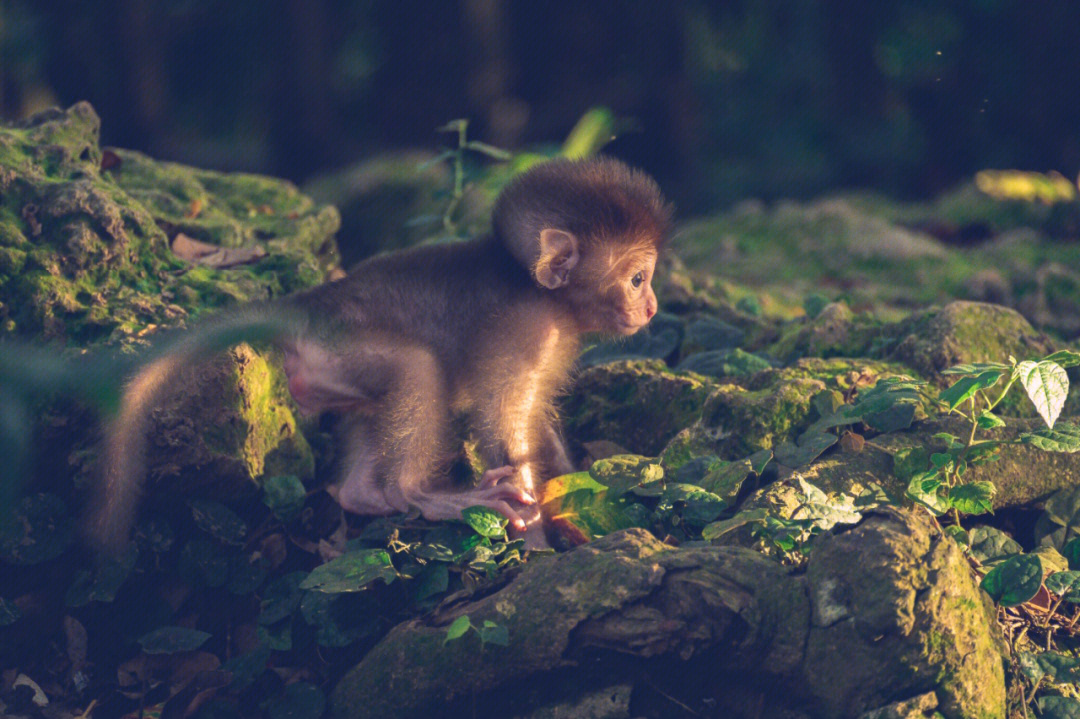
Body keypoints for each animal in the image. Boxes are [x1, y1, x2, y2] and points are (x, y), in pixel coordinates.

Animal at [92, 158, 669, 548]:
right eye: (637, 279)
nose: (653, 308)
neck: (545, 296)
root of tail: (307, 305)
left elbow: (533, 423)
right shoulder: (526, 331)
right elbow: (500, 419)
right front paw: (536, 539)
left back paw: (362, 495)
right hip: (344, 346)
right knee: (418, 370)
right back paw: (417, 496)